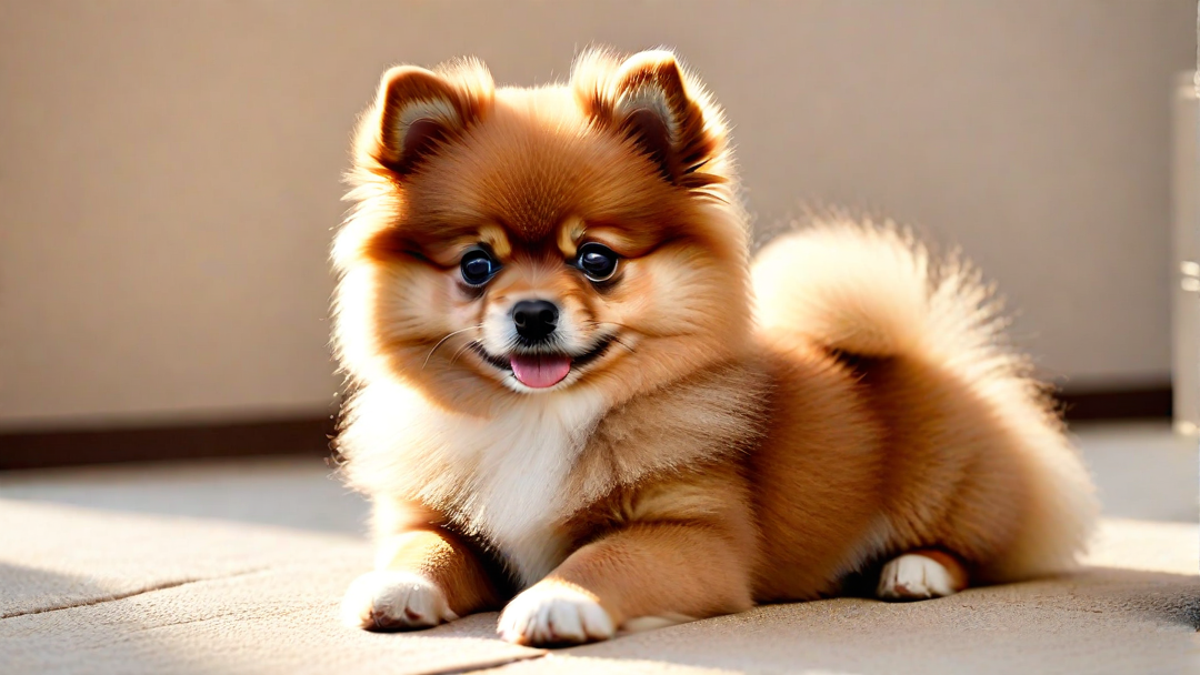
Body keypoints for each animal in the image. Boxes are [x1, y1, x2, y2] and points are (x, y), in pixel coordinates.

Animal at [328, 48, 1099, 648]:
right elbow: (426, 545)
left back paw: (913, 571)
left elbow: (609, 557)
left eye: (597, 260)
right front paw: (394, 584)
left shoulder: (693, 530)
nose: (534, 312)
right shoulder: (437, 514)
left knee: (970, 549)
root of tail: (929, 352)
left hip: (943, 485)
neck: (540, 417)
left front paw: (557, 599)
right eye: (476, 266)